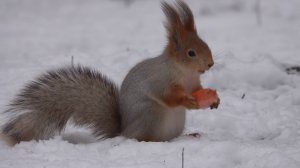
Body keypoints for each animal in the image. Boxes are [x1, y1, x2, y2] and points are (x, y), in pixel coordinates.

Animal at [1, 0, 219, 145]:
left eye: (205, 43)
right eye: (191, 53)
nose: (210, 64)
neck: (185, 72)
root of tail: (123, 132)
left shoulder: (194, 83)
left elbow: (198, 89)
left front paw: (213, 99)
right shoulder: (160, 80)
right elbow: (168, 96)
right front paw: (188, 101)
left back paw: (188, 136)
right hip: (151, 115)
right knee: (144, 137)